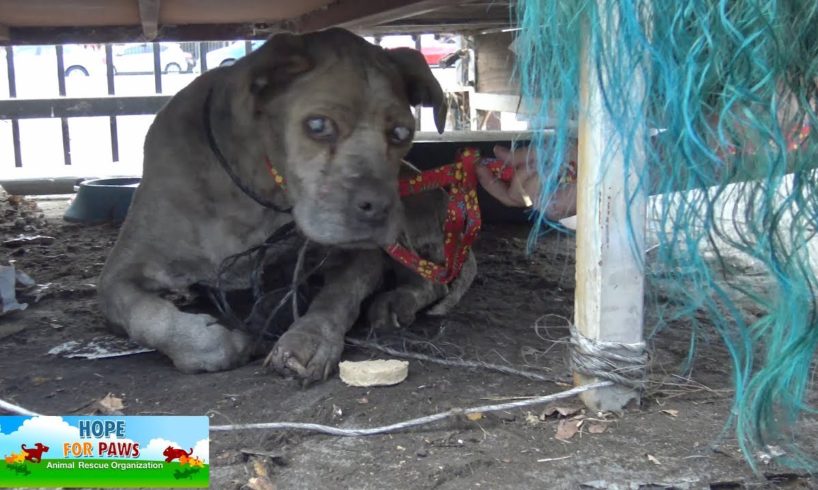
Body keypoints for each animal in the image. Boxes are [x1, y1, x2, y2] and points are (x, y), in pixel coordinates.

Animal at [99, 28, 474, 380]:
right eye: (318, 125)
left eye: (401, 133)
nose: (380, 207)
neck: (254, 192)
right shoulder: (121, 273)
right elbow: (145, 314)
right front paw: (217, 342)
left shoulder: (358, 258)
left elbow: (337, 298)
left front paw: (309, 339)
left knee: (433, 280)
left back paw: (397, 300)